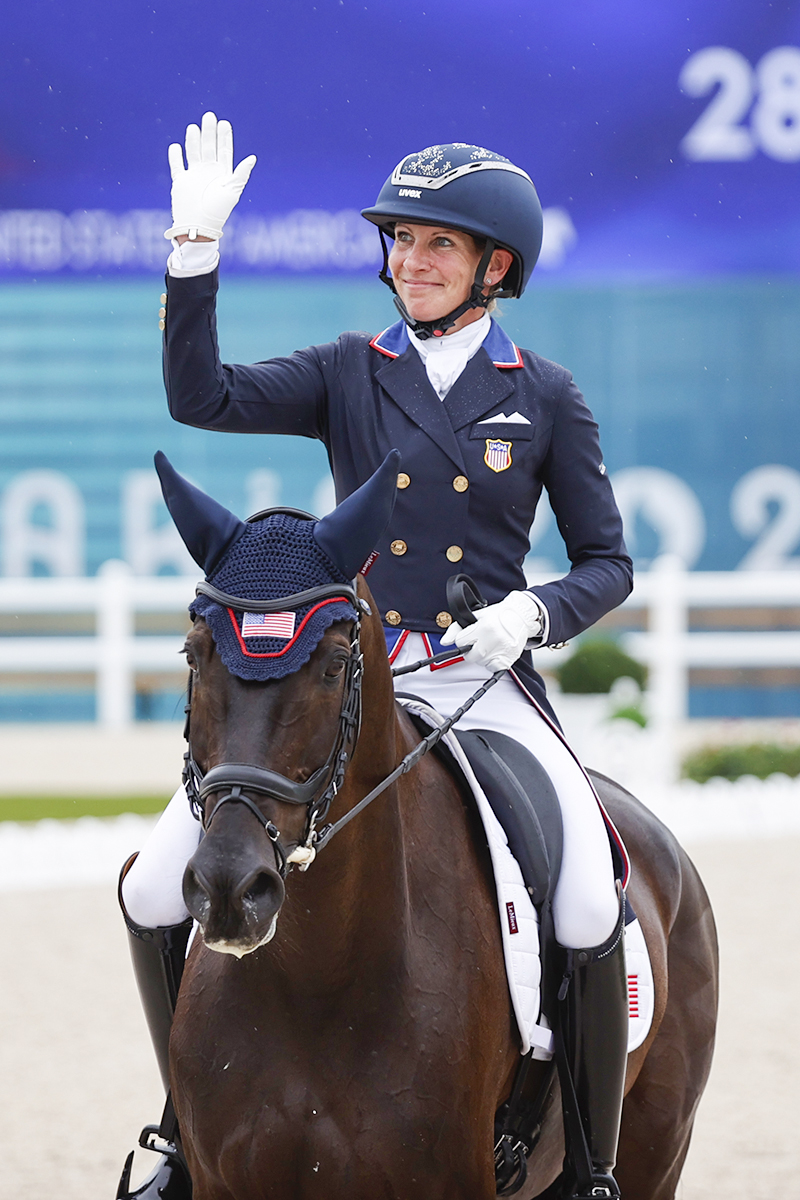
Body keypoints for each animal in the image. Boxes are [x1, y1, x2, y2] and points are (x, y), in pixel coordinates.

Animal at [169, 571, 719, 1200]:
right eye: (193, 654)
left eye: (334, 666)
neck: (318, 982)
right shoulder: (222, 1181)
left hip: (658, 1147)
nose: (229, 886)